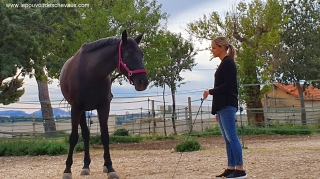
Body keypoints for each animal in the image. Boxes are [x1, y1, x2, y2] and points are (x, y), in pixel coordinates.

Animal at [59, 30, 148, 179]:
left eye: (141, 54)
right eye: (128, 55)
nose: (143, 82)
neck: (91, 72)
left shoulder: (104, 107)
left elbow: (105, 137)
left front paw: (110, 167)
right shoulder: (76, 108)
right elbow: (73, 137)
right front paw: (67, 170)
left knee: (87, 134)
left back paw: (87, 165)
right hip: (81, 111)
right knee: (85, 134)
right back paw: (85, 166)